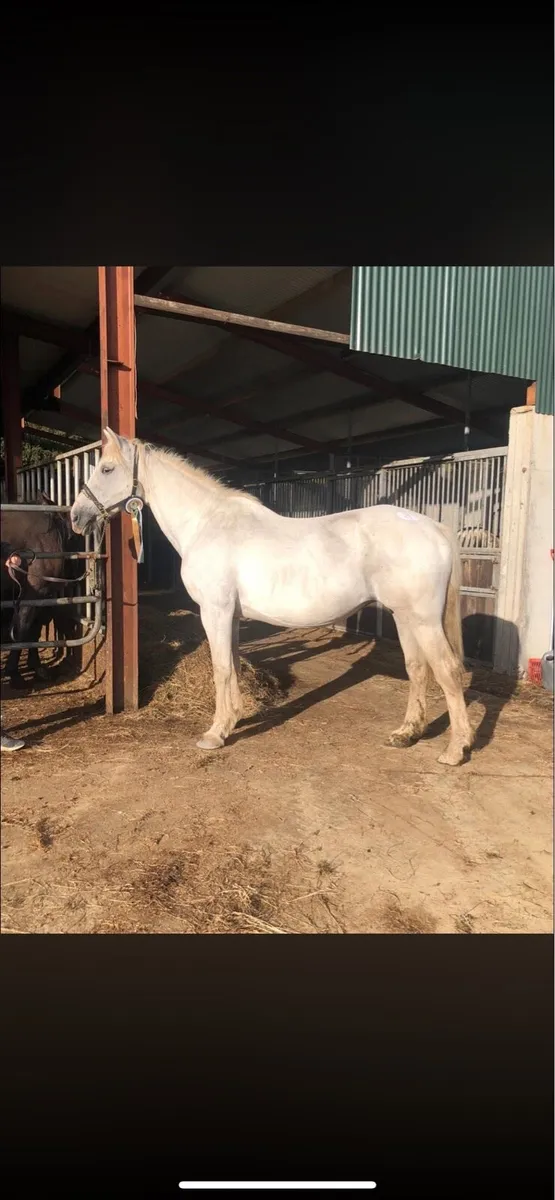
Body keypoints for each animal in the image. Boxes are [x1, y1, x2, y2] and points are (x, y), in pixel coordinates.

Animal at [1, 494, 83, 688]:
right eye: (76, 539)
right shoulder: (33, 593)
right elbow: (23, 629)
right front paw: (14, 673)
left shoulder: (43, 597)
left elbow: (34, 630)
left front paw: (37, 667)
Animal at [70, 428, 474, 767]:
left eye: (106, 469)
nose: (76, 517)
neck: (206, 523)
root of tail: (434, 527)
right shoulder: (231, 616)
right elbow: (233, 664)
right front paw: (233, 719)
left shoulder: (215, 612)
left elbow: (220, 668)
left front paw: (214, 734)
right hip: (404, 616)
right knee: (418, 669)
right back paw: (407, 734)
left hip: (423, 620)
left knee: (448, 671)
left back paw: (456, 750)